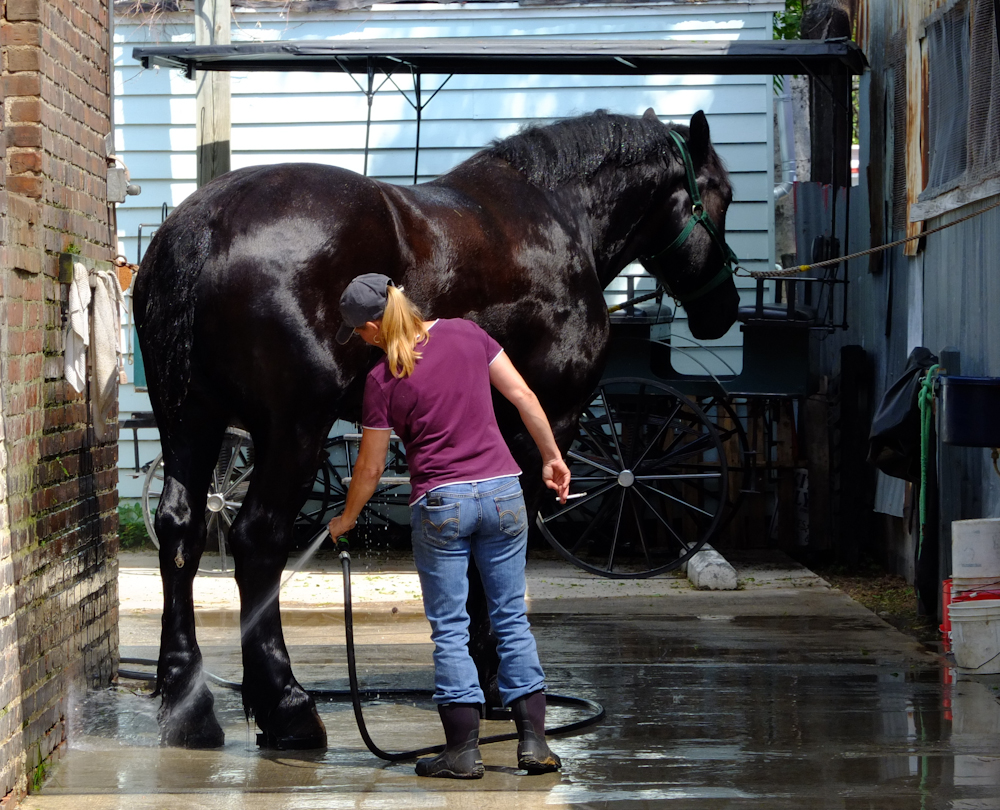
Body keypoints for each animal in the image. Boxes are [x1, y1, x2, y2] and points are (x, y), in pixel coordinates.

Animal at [133, 105, 740, 744]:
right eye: (721, 196)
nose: (722, 310)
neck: (559, 217)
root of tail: (207, 222)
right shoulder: (544, 422)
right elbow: (501, 549)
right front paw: (497, 684)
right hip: (293, 428)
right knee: (258, 539)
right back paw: (288, 706)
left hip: (190, 421)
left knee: (180, 531)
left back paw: (190, 706)